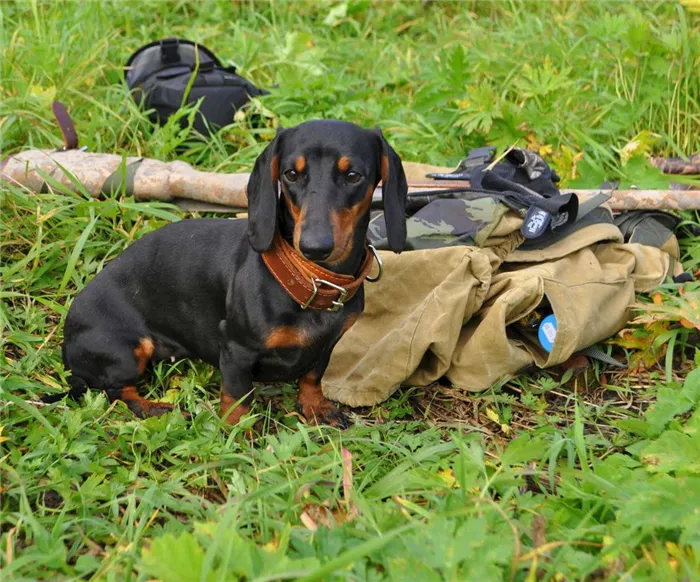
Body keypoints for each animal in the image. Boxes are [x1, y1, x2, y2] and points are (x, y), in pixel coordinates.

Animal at [52, 120, 408, 428]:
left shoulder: (327, 345)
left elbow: (311, 376)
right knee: (117, 391)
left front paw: (316, 408)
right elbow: (238, 396)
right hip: (125, 351)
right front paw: (240, 432)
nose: (315, 247)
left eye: (353, 175)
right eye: (292, 174)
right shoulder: (236, 350)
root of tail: (67, 343)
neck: (309, 279)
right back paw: (156, 409)